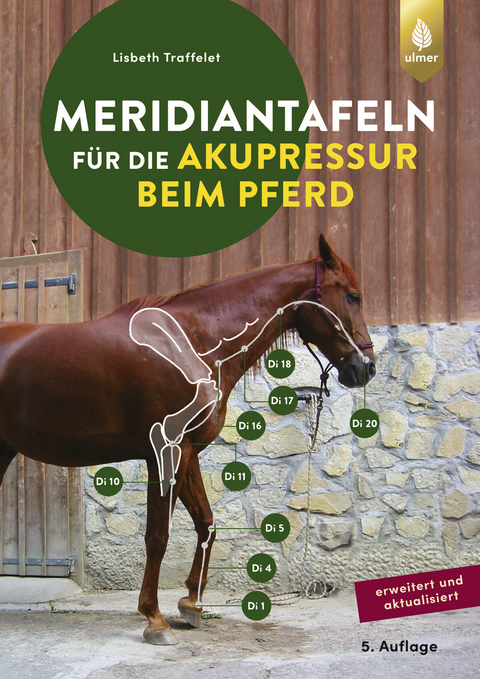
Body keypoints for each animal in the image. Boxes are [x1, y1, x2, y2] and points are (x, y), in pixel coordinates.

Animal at [0, 234, 375, 645]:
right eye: (353, 296)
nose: (366, 368)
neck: (191, 344)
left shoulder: (188, 452)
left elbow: (206, 523)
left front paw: (190, 604)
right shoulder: (165, 452)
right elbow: (157, 536)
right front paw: (154, 618)